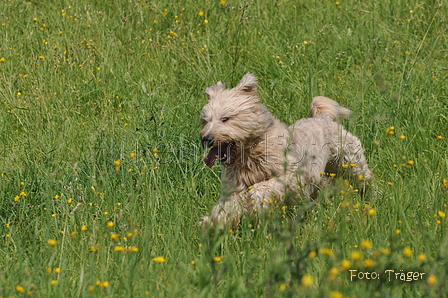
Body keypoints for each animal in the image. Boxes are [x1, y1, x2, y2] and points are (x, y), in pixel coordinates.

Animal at [200, 73, 374, 227]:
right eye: (205, 120)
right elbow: (226, 207)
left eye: (225, 119)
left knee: (364, 178)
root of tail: (323, 117)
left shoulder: (290, 176)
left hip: (350, 160)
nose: (206, 138)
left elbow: (262, 187)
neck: (251, 153)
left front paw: (256, 202)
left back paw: (371, 198)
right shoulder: (234, 188)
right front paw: (211, 224)